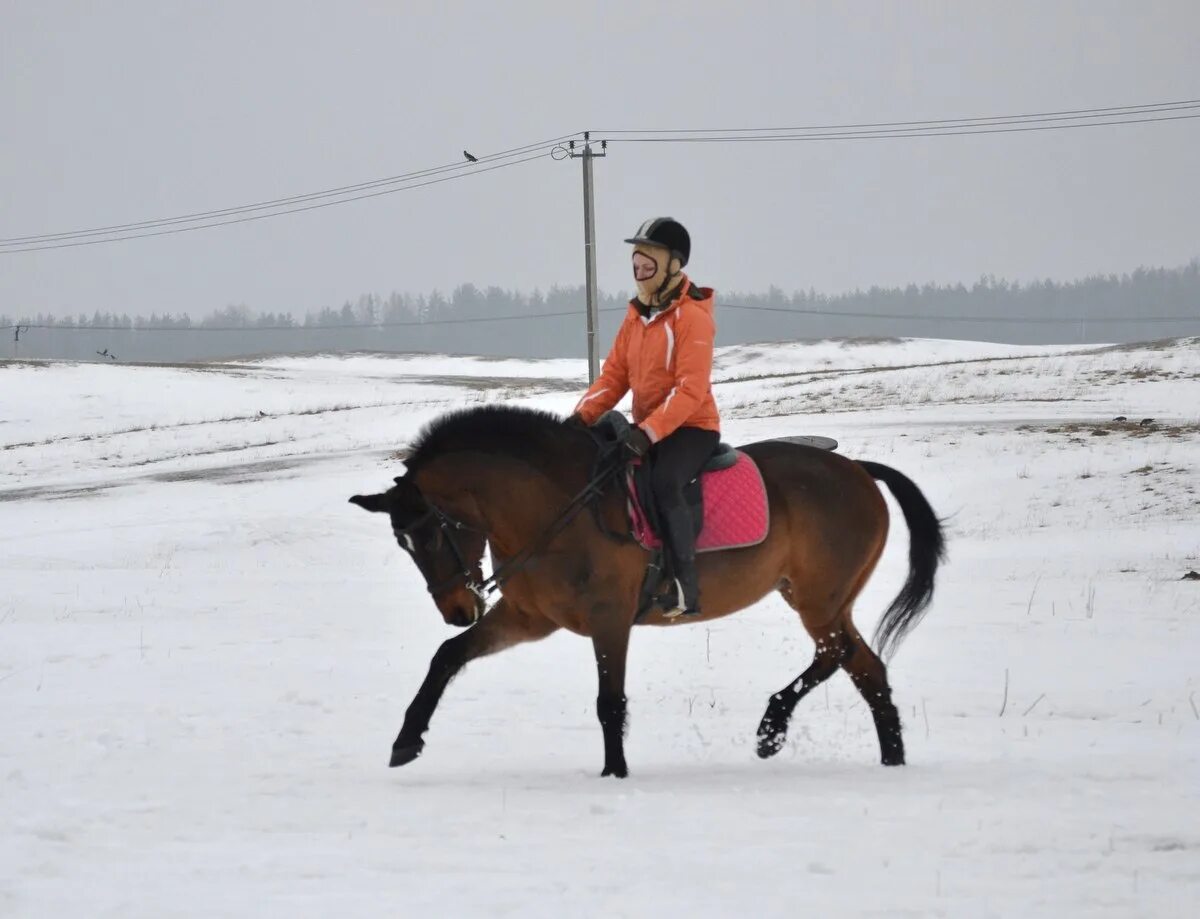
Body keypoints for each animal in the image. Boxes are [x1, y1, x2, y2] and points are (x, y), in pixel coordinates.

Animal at [350, 407, 940, 782]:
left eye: (430, 535)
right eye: (402, 543)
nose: (457, 609)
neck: (556, 508)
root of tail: (857, 470)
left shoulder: (609, 619)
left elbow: (609, 702)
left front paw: (614, 773)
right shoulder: (527, 617)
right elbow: (448, 657)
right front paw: (406, 740)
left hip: (818, 598)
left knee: (837, 654)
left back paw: (771, 728)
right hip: (820, 599)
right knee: (866, 667)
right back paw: (890, 759)